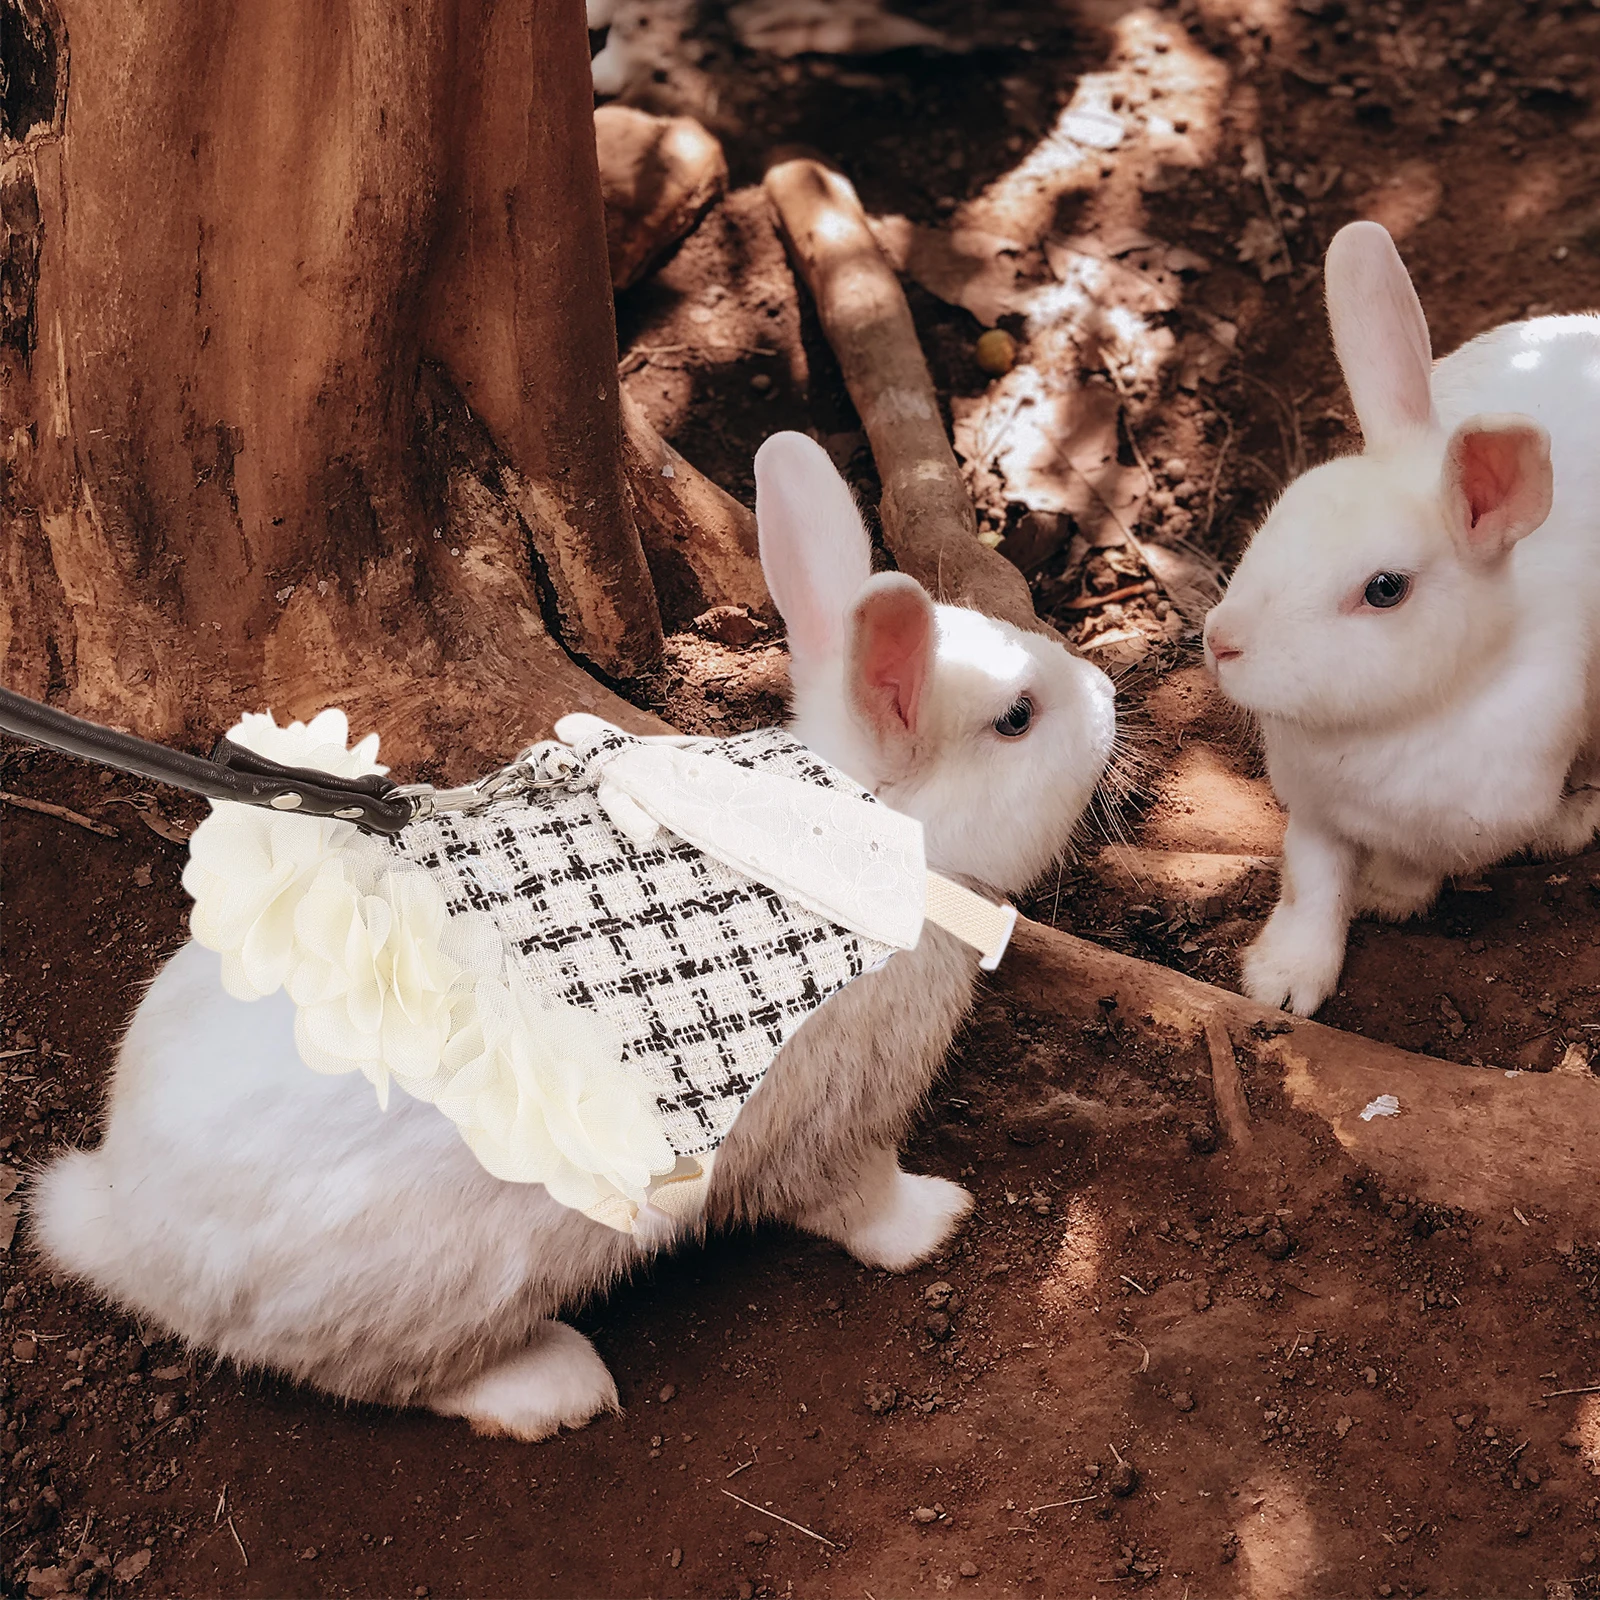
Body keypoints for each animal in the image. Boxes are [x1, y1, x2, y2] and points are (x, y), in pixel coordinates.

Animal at [31, 431, 1116, 1441]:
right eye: (1017, 720)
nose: (1108, 696)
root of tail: (119, 1226)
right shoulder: (833, 1121)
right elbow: (857, 1204)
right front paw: (938, 1219)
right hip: (448, 1284)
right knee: (391, 1377)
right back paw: (554, 1387)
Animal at [1202, 219, 1600, 1017]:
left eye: (1385, 590)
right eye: (1282, 513)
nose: (1220, 643)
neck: (1399, 722)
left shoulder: (1453, 828)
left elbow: (1414, 867)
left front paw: (1391, 895)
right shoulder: (1314, 816)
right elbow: (1311, 887)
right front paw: (1282, 982)